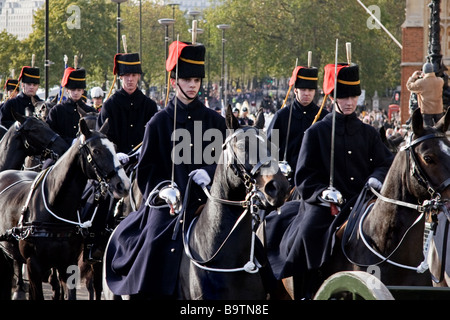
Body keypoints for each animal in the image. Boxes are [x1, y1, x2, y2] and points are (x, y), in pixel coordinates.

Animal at [0, 118, 130, 300]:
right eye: (96, 151)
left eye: (115, 148)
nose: (123, 184)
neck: (54, 207)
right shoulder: (34, 265)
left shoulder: (68, 263)